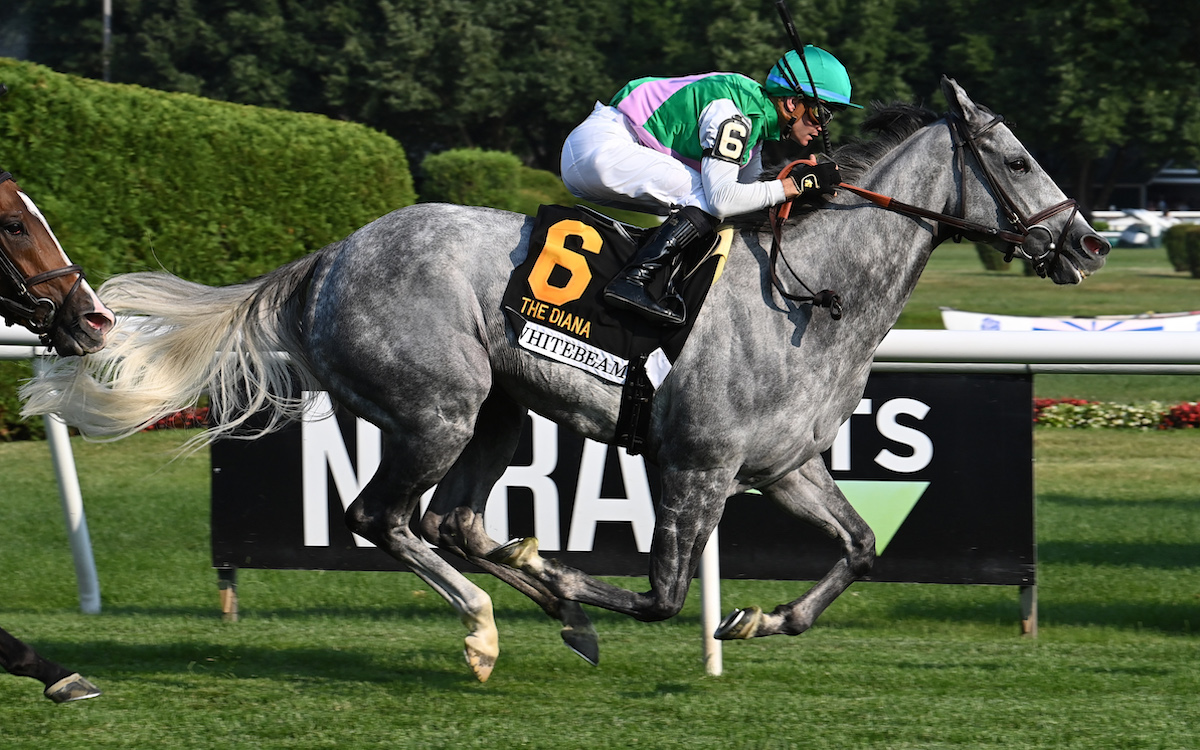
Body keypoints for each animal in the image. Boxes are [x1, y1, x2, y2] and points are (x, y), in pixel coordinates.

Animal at [21, 79, 1104, 681]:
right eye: (1014, 157)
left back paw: (526, 601)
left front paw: (762, 618)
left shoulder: (782, 465)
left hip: (496, 416)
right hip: (438, 409)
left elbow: (862, 547)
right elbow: (664, 596)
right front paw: (576, 583)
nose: (1089, 243)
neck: (809, 292)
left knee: (451, 521)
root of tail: (329, 256)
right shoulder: (695, 462)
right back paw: (490, 625)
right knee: (384, 518)